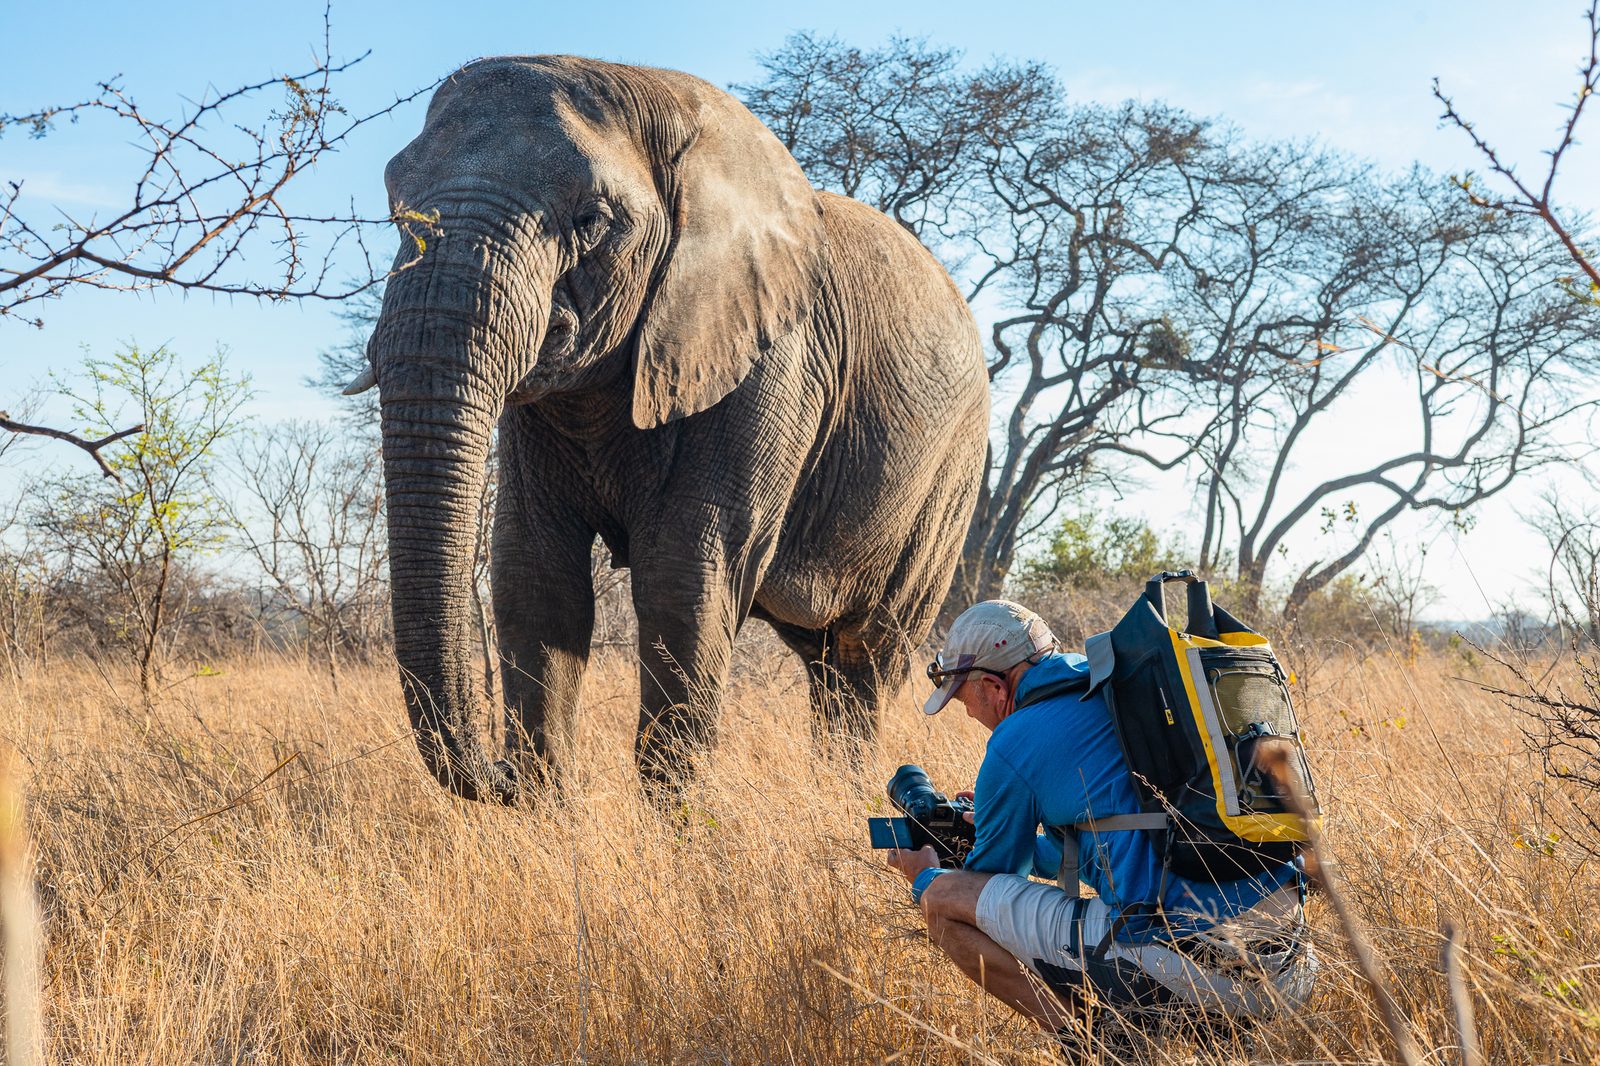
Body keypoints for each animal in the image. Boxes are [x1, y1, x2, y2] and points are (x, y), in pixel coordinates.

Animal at [350, 55, 989, 803]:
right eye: (393, 208)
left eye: (591, 219)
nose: (499, 773)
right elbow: (536, 577)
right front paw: (546, 805)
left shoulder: (772, 362)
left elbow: (683, 578)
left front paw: (678, 819)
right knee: (825, 661)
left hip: (949, 478)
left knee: (868, 657)